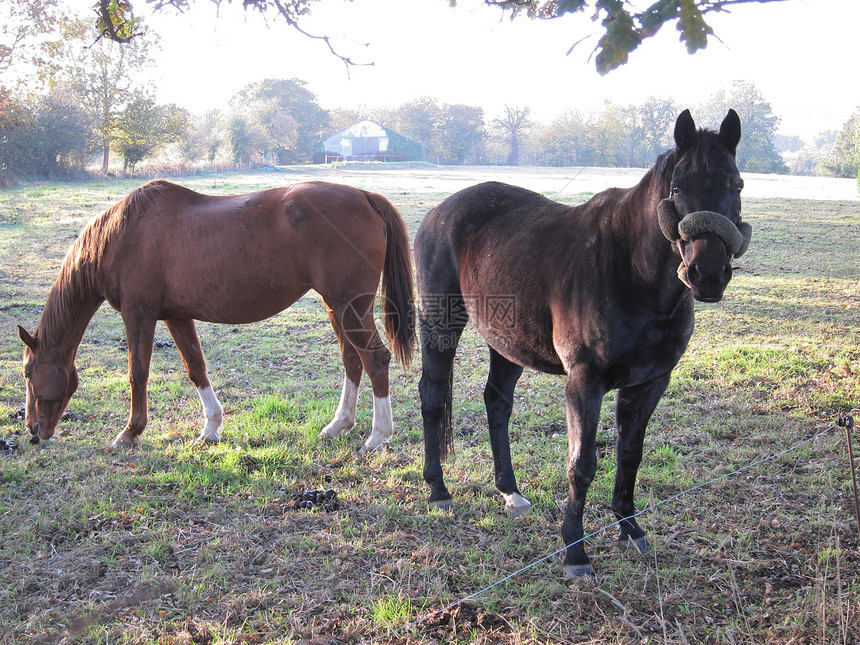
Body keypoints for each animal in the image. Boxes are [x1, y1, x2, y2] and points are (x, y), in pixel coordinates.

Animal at [20, 181, 416, 450]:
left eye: (27, 372)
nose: (34, 431)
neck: (122, 234)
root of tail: (365, 196)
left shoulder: (139, 314)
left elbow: (137, 374)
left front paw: (130, 432)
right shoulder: (176, 317)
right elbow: (196, 368)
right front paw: (210, 428)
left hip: (350, 307)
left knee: (375, 359)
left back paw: (377, 436)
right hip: (337, 308)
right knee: (352, 360)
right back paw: (338, 425)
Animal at [416, 108, 752, 576]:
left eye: (736, 184)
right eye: (678, 188)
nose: (708, 274)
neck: (632, 272)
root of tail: (440, 212)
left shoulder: (650, 382)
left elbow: (630, 453)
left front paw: (630, 528)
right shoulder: (584, 381)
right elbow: (582, 464)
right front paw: (574, 550)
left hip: (508, 342)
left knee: (497, 402)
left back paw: (510, 492)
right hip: (441, 325)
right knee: (432, 396)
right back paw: (439, 490)